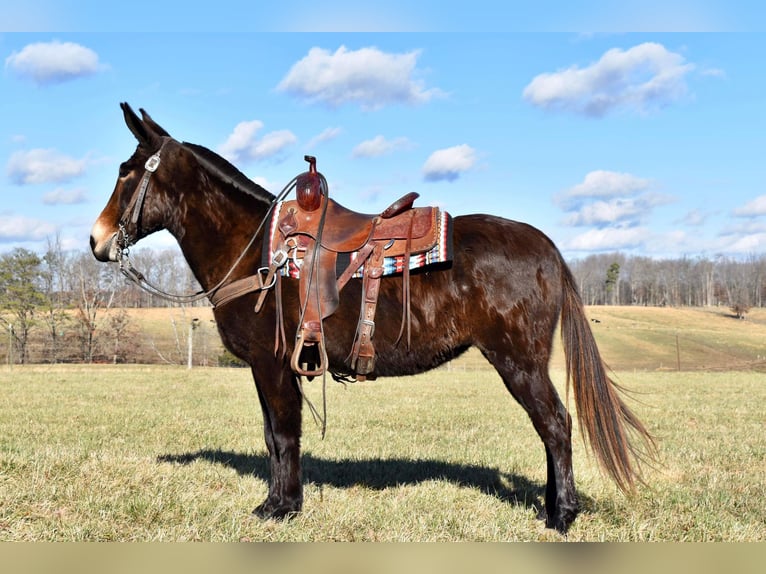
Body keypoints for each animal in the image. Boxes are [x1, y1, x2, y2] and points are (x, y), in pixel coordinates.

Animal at [90, 102, 656, 536]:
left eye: (127, 171)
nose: (97, 241)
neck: (257, 251)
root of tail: (545, 246)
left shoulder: (272, 364)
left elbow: (284, 434)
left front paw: (283, 508)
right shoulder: (267, 368)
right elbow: (273, 435)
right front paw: (276, 502)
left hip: (520, 362)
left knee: (556, 425)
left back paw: (561, 516)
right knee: (550, 429)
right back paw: (551, 505)